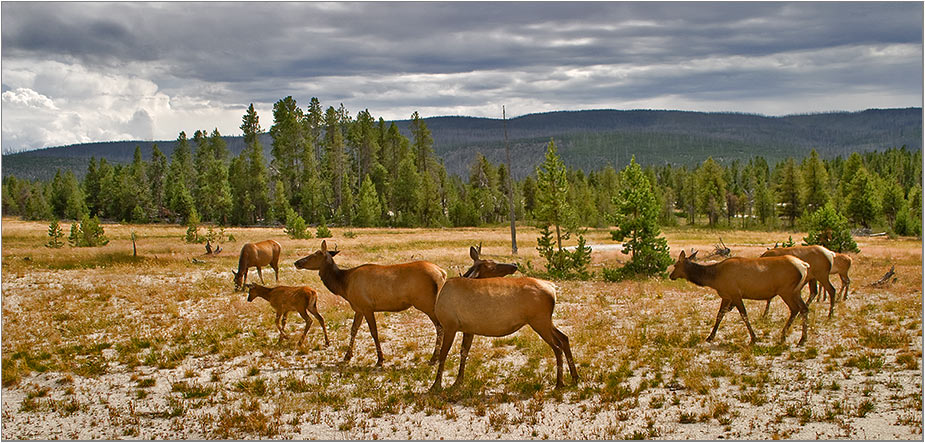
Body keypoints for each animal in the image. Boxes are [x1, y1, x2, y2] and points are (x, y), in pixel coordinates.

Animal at [292, 241, 444, 366]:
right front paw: (347, 356)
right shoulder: (358, 308)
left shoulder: (367, 307)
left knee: (440, 327)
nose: (296, 262)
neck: (343, 285)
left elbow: (374, 332)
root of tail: (442, 273)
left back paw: (434, 358)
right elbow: (353, 330)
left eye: (315, 254)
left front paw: (380, 359)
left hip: (427, 303)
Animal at [430, 246, 572, 392]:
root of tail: (552, 288)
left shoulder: (449, 325)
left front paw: (436, 385)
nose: (514, 264)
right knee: (564, 338)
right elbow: (463, 352)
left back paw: (560, 383)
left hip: (539, 321)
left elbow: (443, 354)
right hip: (545, 321)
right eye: (491, 267)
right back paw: (574, 378)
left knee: (557, 347)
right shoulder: (467, 329)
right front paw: (458, 381)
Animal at [668, 250, 812, 346]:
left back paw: (792, 337)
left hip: (786, 291)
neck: (714, 278)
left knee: (795, 309)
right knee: (803, 308)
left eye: (675, 265)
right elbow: (719, 315)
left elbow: (744, 315)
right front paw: (710, 337)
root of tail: (804, 265)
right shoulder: (726, 296)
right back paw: (799, 338)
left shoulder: (735, 294)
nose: (671, 275)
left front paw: (754, 338)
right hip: (795, 291)